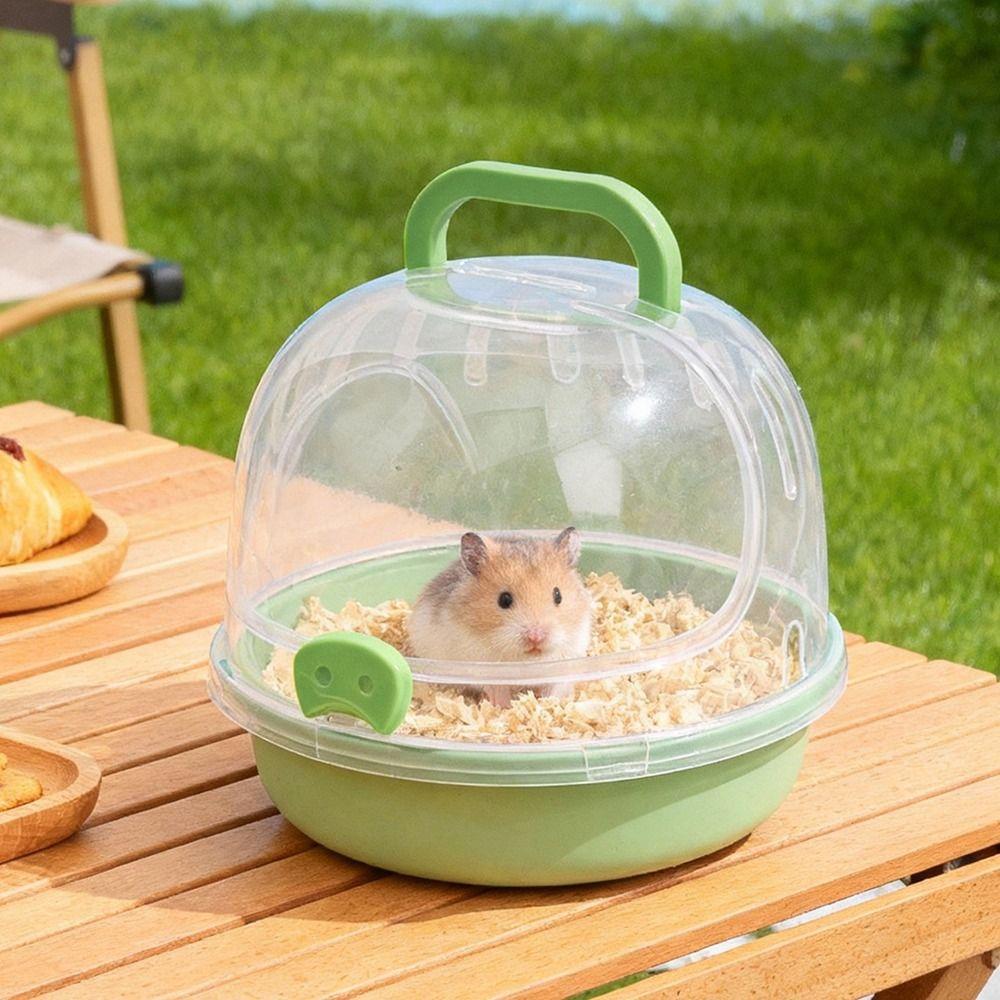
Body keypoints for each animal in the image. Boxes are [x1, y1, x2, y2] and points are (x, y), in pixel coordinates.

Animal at [407, 527, 592, 707]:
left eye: (558, 595)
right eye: (504, 599)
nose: (536, 637)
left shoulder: (568, 658)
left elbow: (556, 686)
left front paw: (549, 703)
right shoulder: (472, 661)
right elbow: (495, 685)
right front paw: (504, 705)